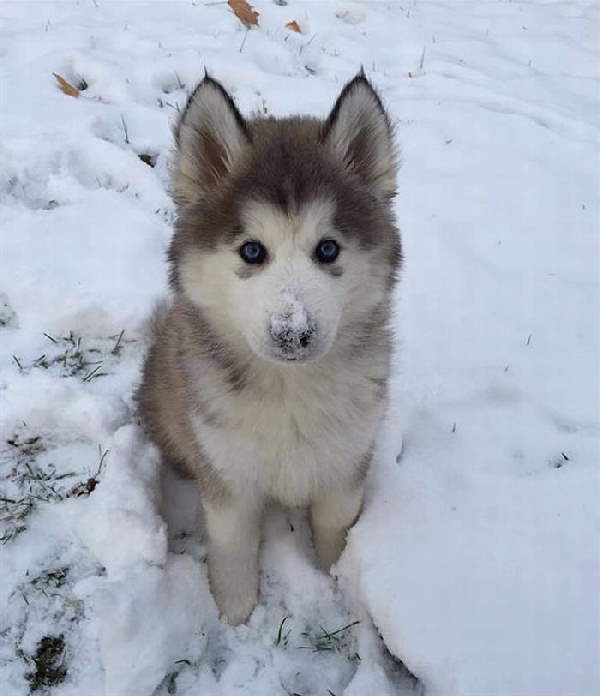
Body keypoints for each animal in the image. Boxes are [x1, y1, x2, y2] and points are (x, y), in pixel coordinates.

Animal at [139, 70, 404, 624]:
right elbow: (233, 546)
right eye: (252, 251)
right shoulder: (226, 474)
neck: (289, 391)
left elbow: (335, 528)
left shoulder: (346, 461)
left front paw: (336, 577)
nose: (293, 333)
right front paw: (235, 609)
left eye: (328, 249)